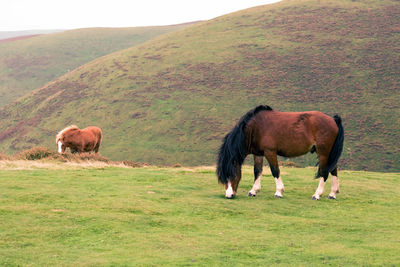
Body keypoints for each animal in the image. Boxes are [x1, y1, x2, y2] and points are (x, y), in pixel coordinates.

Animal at [217, 106, 346, 201]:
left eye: (232, 174)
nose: (229, 195)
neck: (257, 127)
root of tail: (333, 120)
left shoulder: (270, 152)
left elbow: (275, 171)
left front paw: (279, 192)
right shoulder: (258, 154)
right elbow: (257, 171)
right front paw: (253, 191)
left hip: (323, 152)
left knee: (324, 172)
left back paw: (317, 194)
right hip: (329, 153)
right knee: (333, 169)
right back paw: (332, 194)